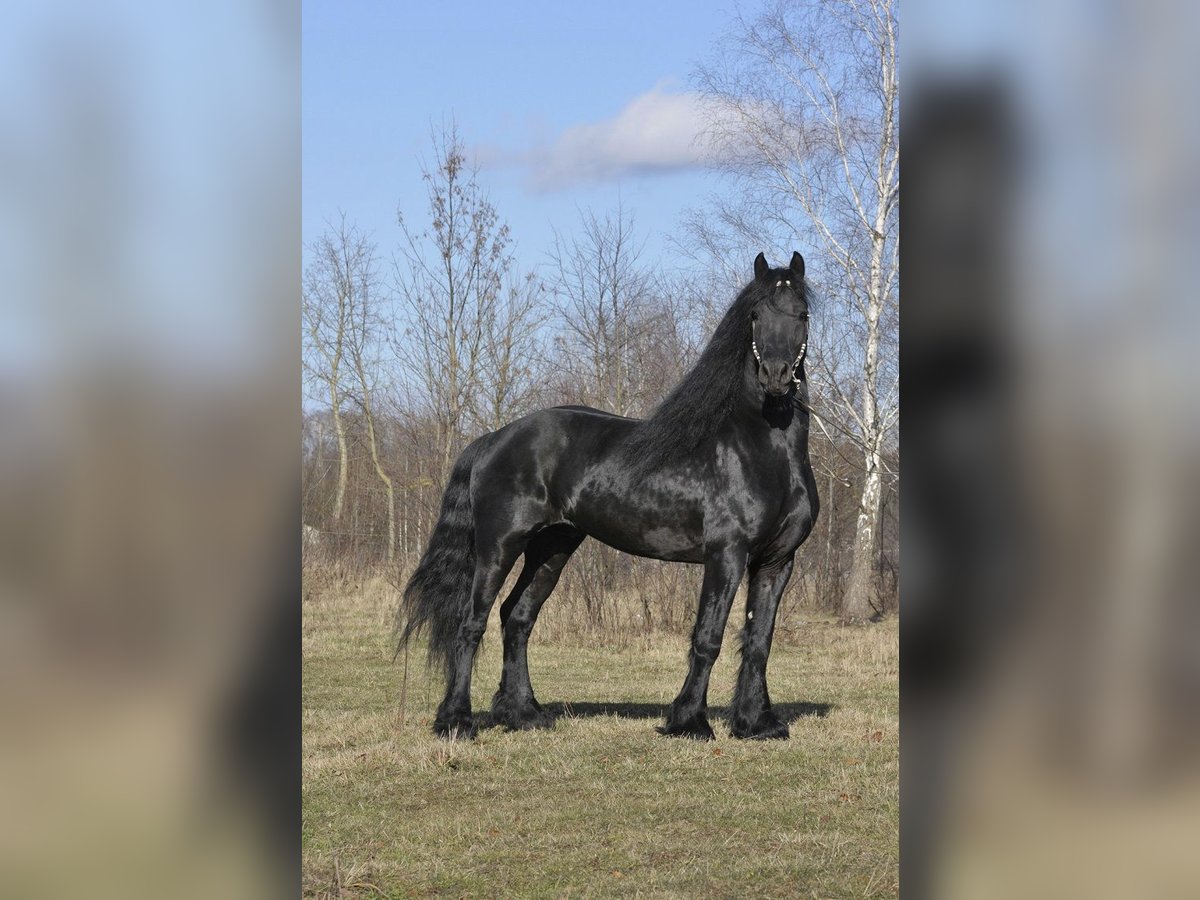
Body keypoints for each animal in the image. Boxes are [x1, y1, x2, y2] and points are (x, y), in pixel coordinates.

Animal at [398, 252, 820, 739]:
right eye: (755, 315)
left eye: (802, 315)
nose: (776, 377)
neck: (761, 450)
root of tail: (494, 438)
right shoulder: (726, 554)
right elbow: (708, 637)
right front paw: (689, 721)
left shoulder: (776, 562)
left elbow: (758, 641)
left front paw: (757, 723)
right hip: (499, 546)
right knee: (472, 623)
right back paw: (456, 721)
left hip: (553, 546)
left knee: (517, 617)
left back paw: (524, 713)